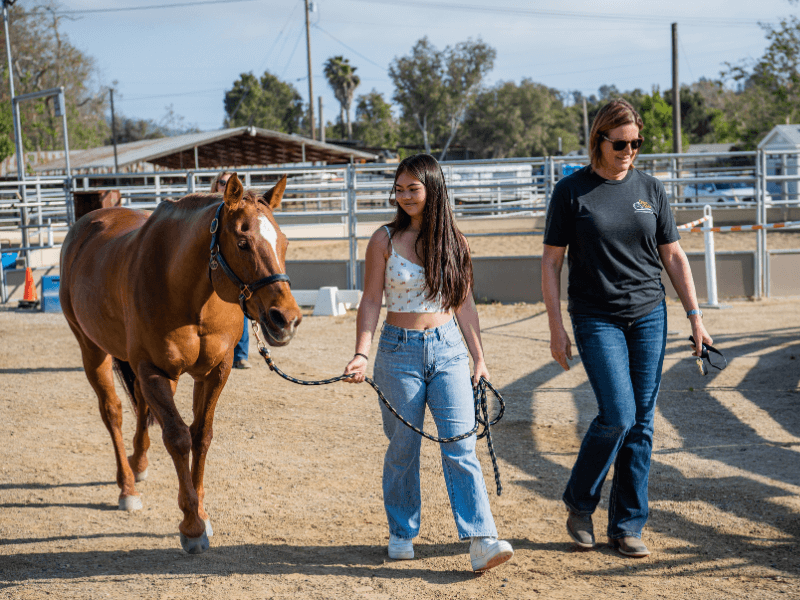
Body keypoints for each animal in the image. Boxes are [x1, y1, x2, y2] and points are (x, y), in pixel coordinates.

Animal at [59, 173, 302, 554]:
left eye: (285, 243)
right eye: (243, 242)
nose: (286, 320)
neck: (188, 292)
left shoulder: (215, 372)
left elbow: (201, 436)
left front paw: (201, 511)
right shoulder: (153, 370)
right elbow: (177, 438)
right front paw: (191, 525)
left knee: (143, 408)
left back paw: (139, 462)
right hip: (93, 349)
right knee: (113, 411)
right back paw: (127, 487)